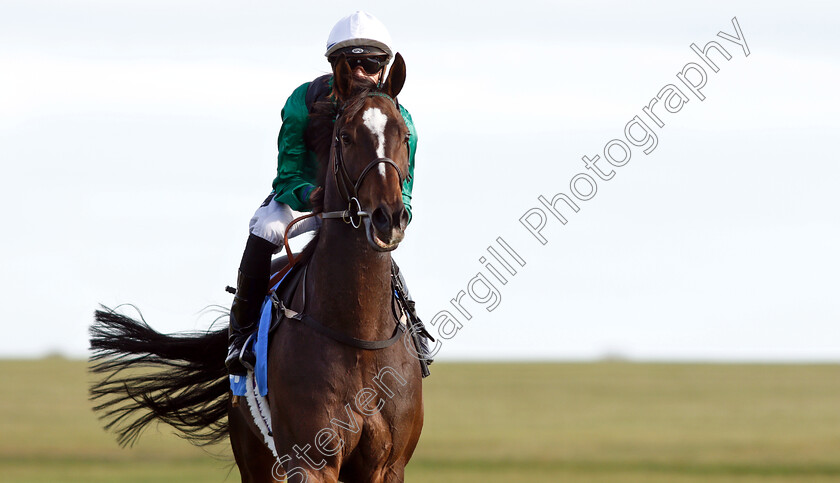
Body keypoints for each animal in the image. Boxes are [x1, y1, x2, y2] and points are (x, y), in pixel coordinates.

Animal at [88, 54, 424, 483]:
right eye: (346, 136)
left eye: (404, 135)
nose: (388, 218)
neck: (358, 335)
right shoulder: (308, 460)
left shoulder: (386, 466)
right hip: (256, 456)